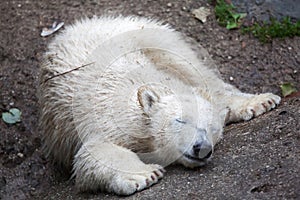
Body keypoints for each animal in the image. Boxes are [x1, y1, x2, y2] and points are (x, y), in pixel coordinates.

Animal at [38, 15, 282, 195]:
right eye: (180, 120)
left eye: (212, 128)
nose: (201, 147)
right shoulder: (106, 116)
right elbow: (95, 153)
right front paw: (144, 175)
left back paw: (260, 101)